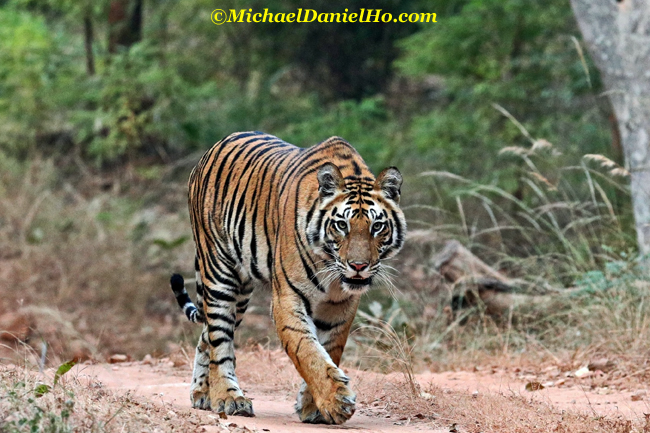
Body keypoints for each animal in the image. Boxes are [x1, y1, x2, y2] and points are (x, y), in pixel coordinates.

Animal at [171, 131, 404, 422]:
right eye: (342, 225)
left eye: (377, 226)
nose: (359, 266)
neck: (331, 271)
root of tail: (211, 150)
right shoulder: (287, 299)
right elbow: (307, 350)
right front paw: (336, 401)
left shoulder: (341, 305)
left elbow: (330, 349)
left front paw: (312, 406)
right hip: (219, 273)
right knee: (219, 339)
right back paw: (228, 397)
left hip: (241, 293)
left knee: (206, 337)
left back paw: (202, 393)